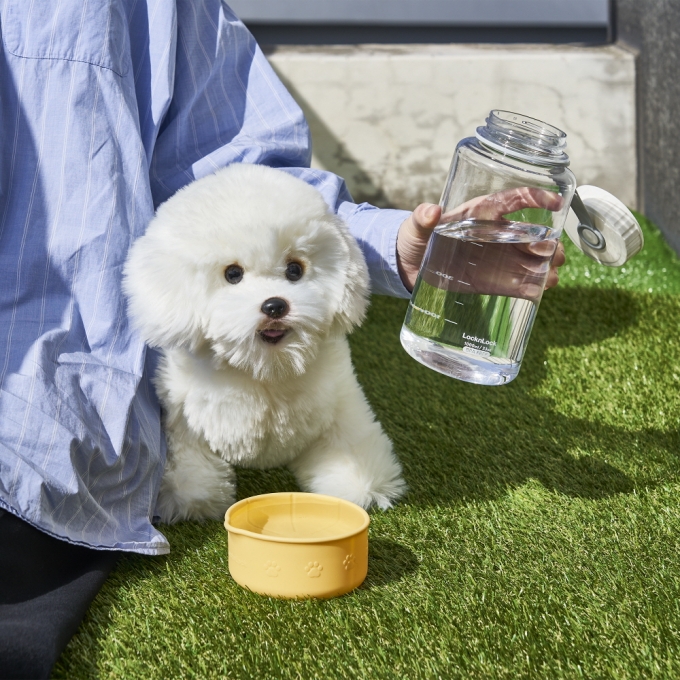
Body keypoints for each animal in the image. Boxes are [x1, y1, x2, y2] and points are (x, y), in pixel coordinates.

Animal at [123, 163, 404, 520]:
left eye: (295, 269)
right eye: (232, 274)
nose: (274, 305)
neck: (264, 366)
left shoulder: (339, 401)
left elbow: (348, 443)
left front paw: (362, 487)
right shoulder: (182, 416)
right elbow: (191, 462)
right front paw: (194, 501)